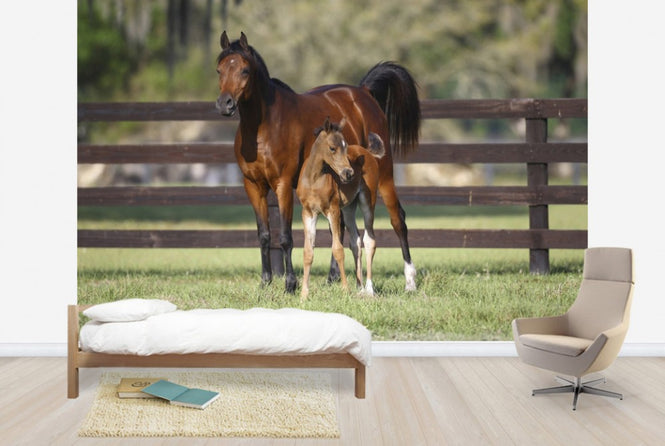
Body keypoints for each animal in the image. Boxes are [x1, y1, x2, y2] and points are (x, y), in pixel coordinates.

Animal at [297, 117, 385, 300]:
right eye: (332, 148)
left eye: (346, 147)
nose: (348, 173)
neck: (314, 179)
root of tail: (368, 153)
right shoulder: (308, 213)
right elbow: (308, 251)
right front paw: (303, 295)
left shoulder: (333, 210)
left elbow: (337, 249)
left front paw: (345, 290)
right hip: (349, 208)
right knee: (355, 241)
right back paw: (359, 287)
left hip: (367, 201)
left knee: (369, 240)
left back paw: (369, 289)